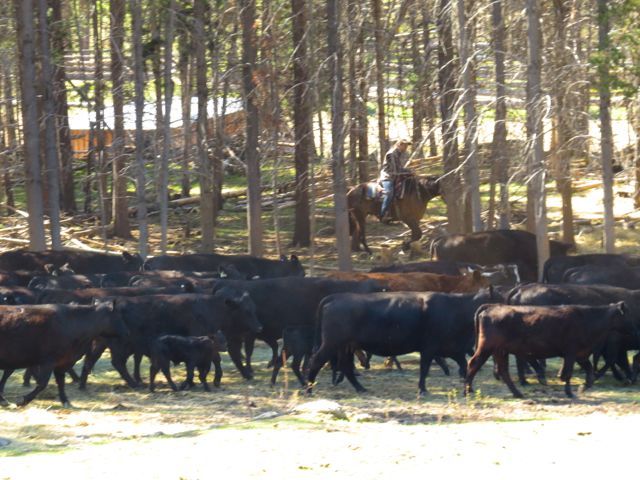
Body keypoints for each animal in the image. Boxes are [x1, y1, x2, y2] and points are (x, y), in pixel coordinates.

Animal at [308, 288, 498, 394]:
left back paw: (361, 388)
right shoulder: (429, 348)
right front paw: (422, 389)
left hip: (346, 346)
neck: (456, 308)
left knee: (346, 366)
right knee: (316, 361)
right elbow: (424, 368)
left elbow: (465, 366)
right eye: (500, 297)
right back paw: (309, 389)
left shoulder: (454, 349)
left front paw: (469, 388)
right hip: (332, 343)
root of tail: (336, 297)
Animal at [464, 304, 636, 398]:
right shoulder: (571, 353)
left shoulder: (581, 354)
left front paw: (583, 387)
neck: (589, 318)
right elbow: (568, 373)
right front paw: (570, 392)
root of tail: (492, 307)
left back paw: (517, 393)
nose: (636, 329)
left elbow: (588, 371)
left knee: (503, 371)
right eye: (628, 315)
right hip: (487, 347)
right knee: (473, 363)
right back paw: (467, 391)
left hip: (500, 351)